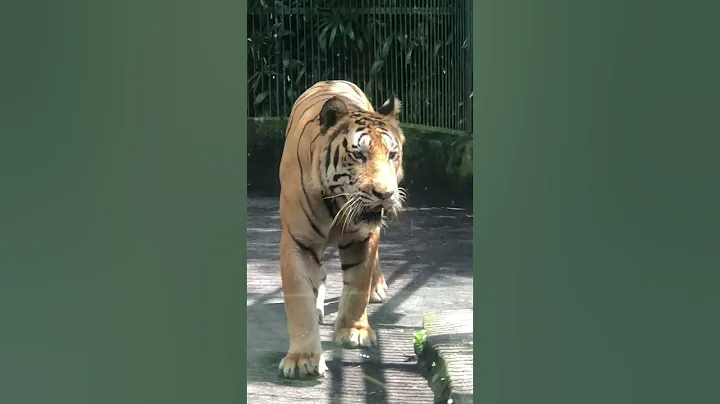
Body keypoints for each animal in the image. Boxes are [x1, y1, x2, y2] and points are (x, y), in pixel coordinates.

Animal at [277, 80, 406, 379]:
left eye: (392, 155)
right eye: (359, 155)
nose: (386, 194)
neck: (337, 203)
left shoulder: (363, 238)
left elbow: (358, 286)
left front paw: (354, 331)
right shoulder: (297, 242)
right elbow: (299, 300)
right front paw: (302, 359)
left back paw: (377, 288)